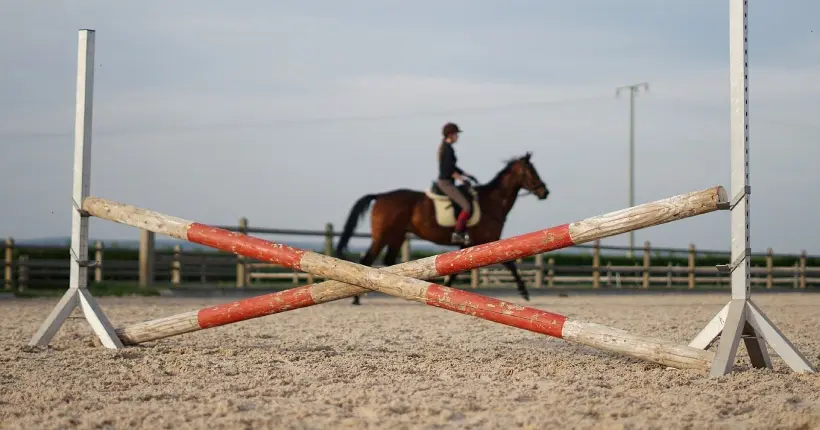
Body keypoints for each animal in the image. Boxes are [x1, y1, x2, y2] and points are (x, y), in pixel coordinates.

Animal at [334, 153, 552, 304]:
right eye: (532, 171)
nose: (545, 192)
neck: (492, 202)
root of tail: (380, 196)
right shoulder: (486, 241)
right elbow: (511, 264)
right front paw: (524, 292)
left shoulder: (469, 245)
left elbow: (455, 271)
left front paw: (446, 290)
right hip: (383, 236)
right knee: (367, 260)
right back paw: (357, 299)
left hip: (397, 236)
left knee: (387, 261)